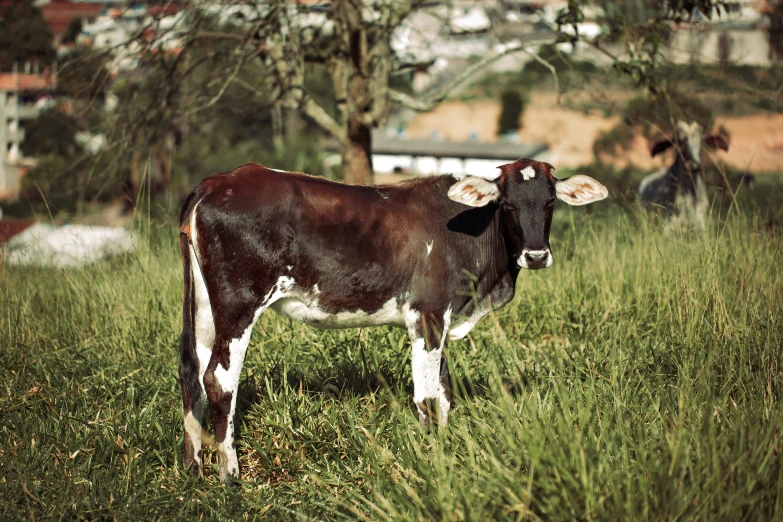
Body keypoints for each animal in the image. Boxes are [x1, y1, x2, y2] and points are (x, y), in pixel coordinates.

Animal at [176, 157, 608, 480]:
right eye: (508, 204)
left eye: (550, 203)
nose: (535, 255)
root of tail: (220, 180)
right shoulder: (428, 313)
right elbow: (427, 396)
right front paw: (432, 458)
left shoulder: (439, 319)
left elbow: (444, 391)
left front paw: (444, 447)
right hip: (239, 304)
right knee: (219, 380)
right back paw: (230, 475)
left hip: (204, 306)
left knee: (190, 367)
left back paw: (194, 466)